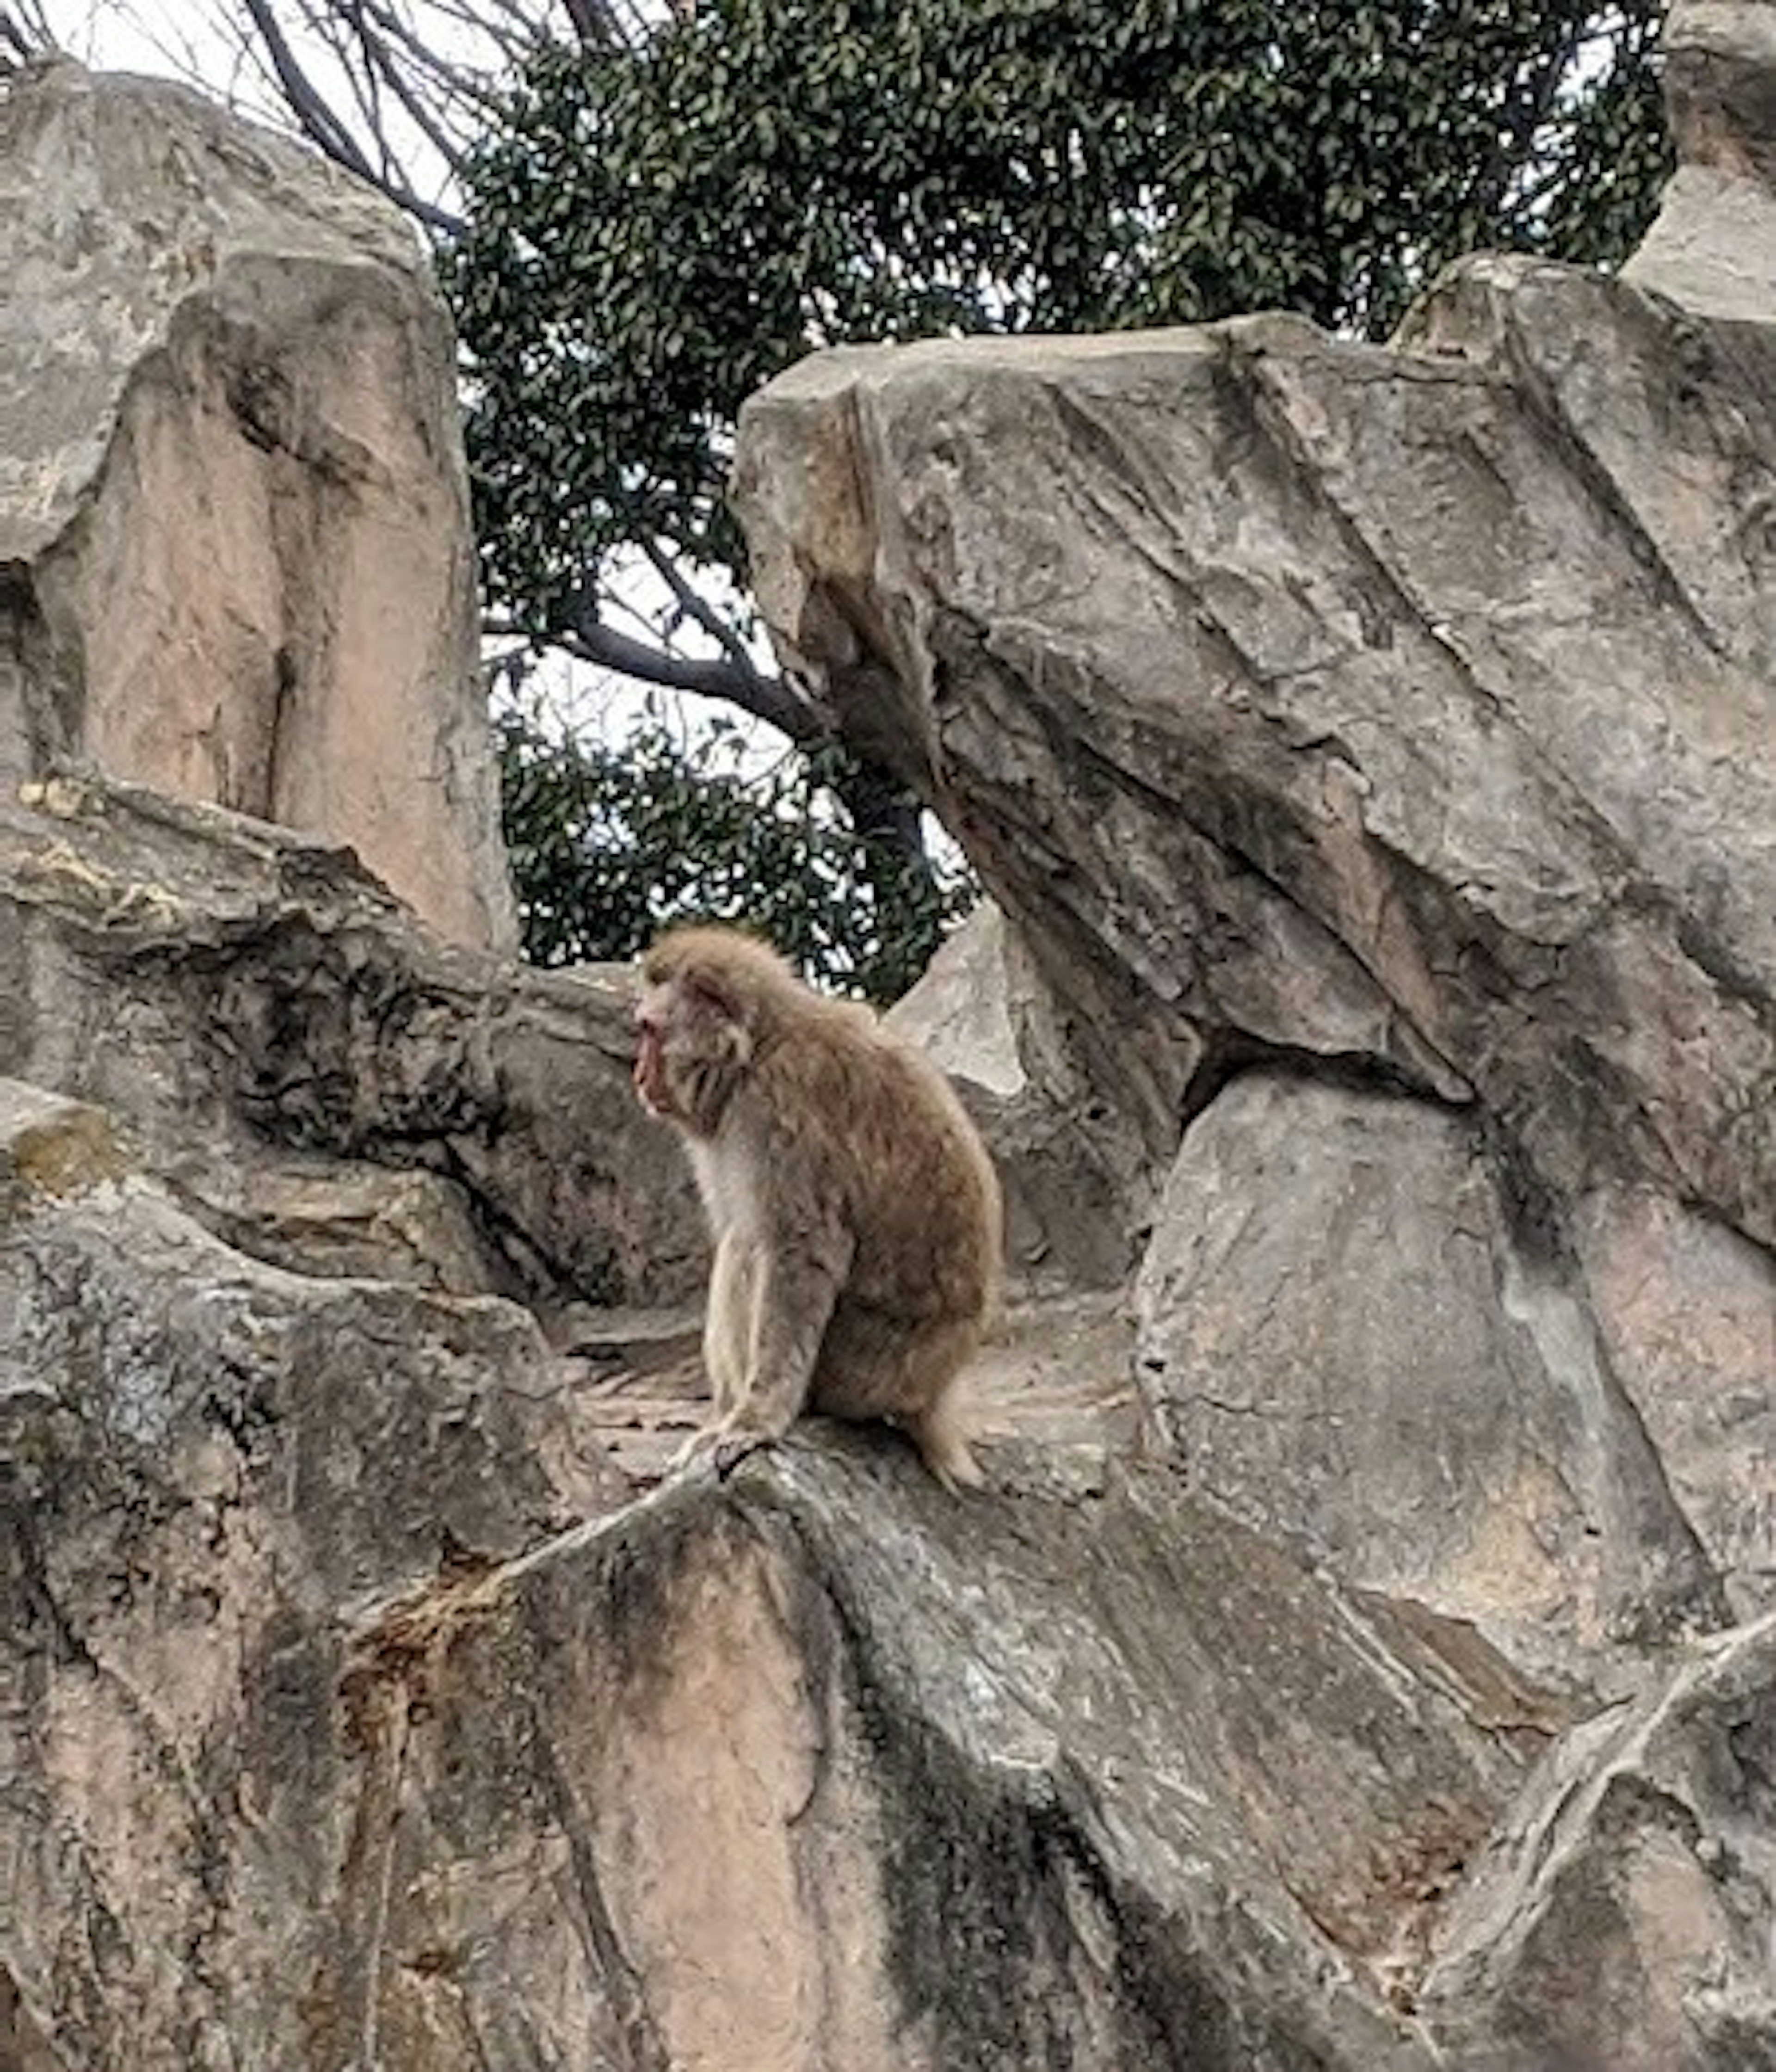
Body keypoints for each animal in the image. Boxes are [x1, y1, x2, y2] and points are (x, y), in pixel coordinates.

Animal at [634, 924, 999, 1492]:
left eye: (651, 1032)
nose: (639, 1076)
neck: (758, 1047)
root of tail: (936, 1393)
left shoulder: (777, 1106)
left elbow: (801, 1251)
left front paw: (756, 1420)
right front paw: (727, 1421)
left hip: (869, 1369)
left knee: (751, 1246)